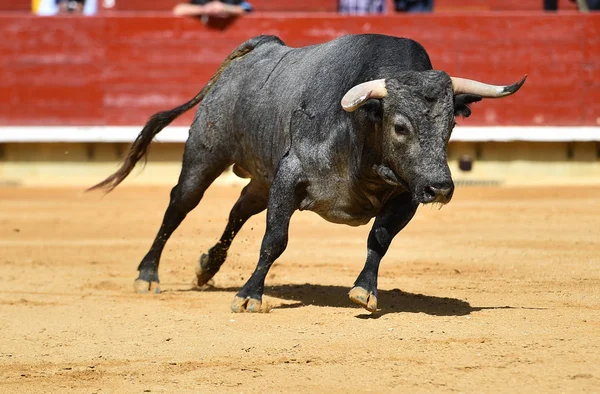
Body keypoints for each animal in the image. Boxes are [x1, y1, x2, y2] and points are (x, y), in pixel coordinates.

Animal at [89, 33, 524, 312]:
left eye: (451, 125)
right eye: (400, 126)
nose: (440, 188)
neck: (362, 134)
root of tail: (262, 47)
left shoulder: (405, 195)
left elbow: (379, 239)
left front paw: (365, 291)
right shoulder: (290, 177)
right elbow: (274, 240)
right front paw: (249, 296)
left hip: (261, 179)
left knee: (238, 210)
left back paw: (207, 265)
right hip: (204, 154)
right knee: (179, 205)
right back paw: (148, 275)